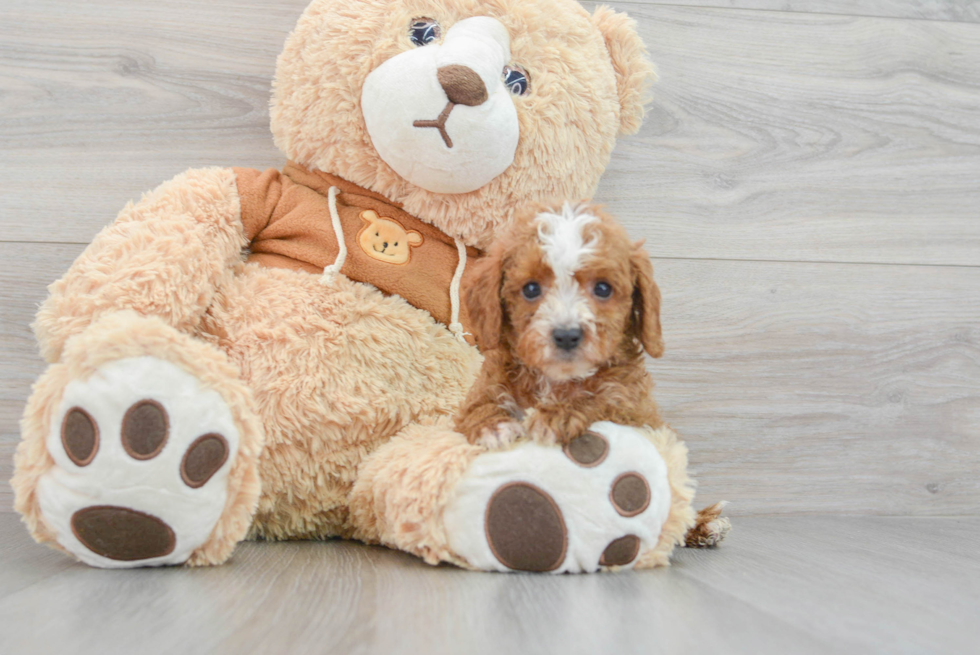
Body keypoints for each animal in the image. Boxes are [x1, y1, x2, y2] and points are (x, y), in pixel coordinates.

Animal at [460, 204, 668, 452]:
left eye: (603, 288)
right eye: (531, 289)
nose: (567, 336)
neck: (556, 381)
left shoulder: (637, 413)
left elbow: (606, 400)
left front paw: (556, 416)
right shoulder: (489, 381)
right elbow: (476, 403)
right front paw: (490, 425)